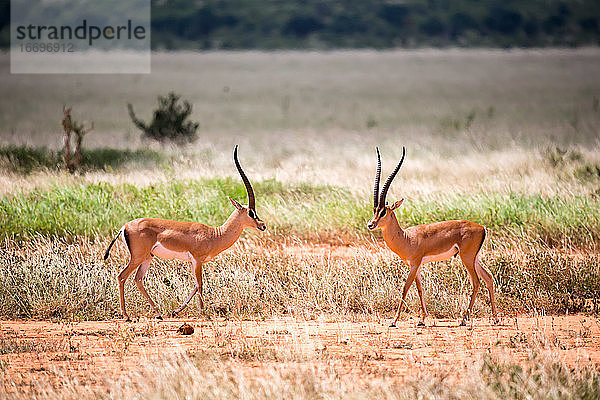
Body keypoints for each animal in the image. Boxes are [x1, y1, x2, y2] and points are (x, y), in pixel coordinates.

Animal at [103, 145, 264, 320]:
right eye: (251, 213)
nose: (262, 225)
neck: (214, 235)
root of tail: (125, 226)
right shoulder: (197, 260)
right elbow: (200, 284)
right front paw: (204, 314)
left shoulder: (195, 262)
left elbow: (195, 285)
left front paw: (176, 311)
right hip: (138, 257)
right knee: (122, 276)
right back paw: (126, 316)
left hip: (147, 257)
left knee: (138, 279)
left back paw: (159, 313)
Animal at [368, 148, 500, 326]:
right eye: (374, 210)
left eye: (383, 212)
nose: (370, 224)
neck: (406, 238)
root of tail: (482, 228)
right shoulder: (415, 266)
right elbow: (420, 289)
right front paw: (423, 319)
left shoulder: (414, 264)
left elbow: (405, 288)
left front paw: (394, 321)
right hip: (475, 258)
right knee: (488, 277)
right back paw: (495, 319)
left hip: (466, 258)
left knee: (477, 281)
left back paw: (464, 320)